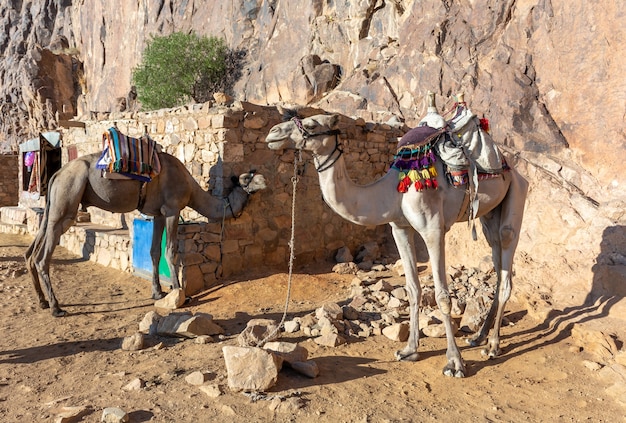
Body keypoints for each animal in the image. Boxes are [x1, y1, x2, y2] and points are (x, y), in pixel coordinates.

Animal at [24, 151, 266, 316]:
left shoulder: (157, 214)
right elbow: (171, 251)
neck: (191, 189)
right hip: (67, 198)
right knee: (43, 257)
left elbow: (154, 252)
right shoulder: (172, 209)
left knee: (32, 251)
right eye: (248, 178)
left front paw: (158, 293)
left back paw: (42, 301)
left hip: (53, 206)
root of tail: (57, 173)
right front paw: (180, 293)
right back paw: (56, 307)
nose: (265, 181)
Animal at [264, 106, 528, 378]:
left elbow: (442, 296)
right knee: (496, 258)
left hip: (517, 191)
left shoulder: (433, 229)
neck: (391, 192)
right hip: (489, 213)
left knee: (506, 252)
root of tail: (511, 167)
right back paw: (478, 337)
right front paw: (409, 350)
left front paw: (455, 363)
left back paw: (493, 346)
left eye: (312, 124)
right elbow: (413, 289)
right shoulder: (399, 228)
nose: (273, 133)